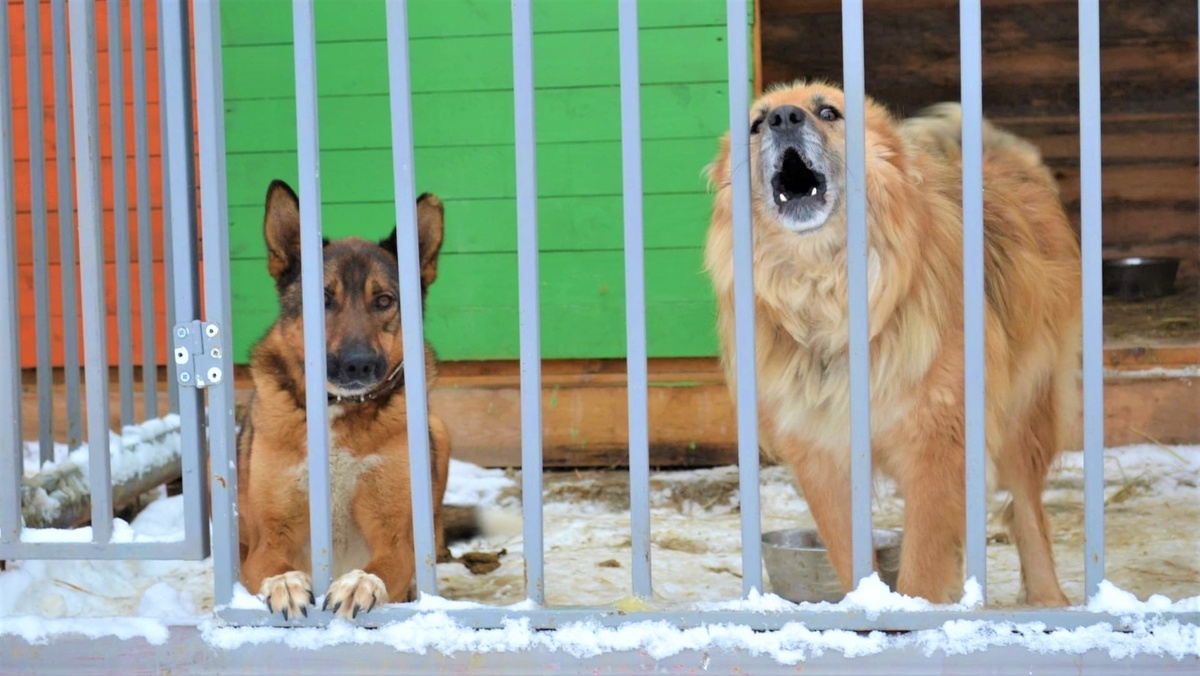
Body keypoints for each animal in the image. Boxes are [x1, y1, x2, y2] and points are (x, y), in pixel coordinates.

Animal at [234, 178, 453, 619]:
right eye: (322, 301)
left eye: (384, 301)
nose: (357, 365)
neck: (337, 409)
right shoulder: (267, 543)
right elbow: (273, 566)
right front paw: (285, 584)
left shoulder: (396, 539)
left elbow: (380, 567)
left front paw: (359, 584)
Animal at [705, 82, 1084, 605]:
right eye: (757, 124)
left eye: (829, 112)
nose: (784, 118)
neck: (828, 295)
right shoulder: (824, 458)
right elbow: (849, 553)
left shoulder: (939, 448)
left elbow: (923, 565)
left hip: (1022, 417)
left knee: (1027, 509)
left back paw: (1048, 596)